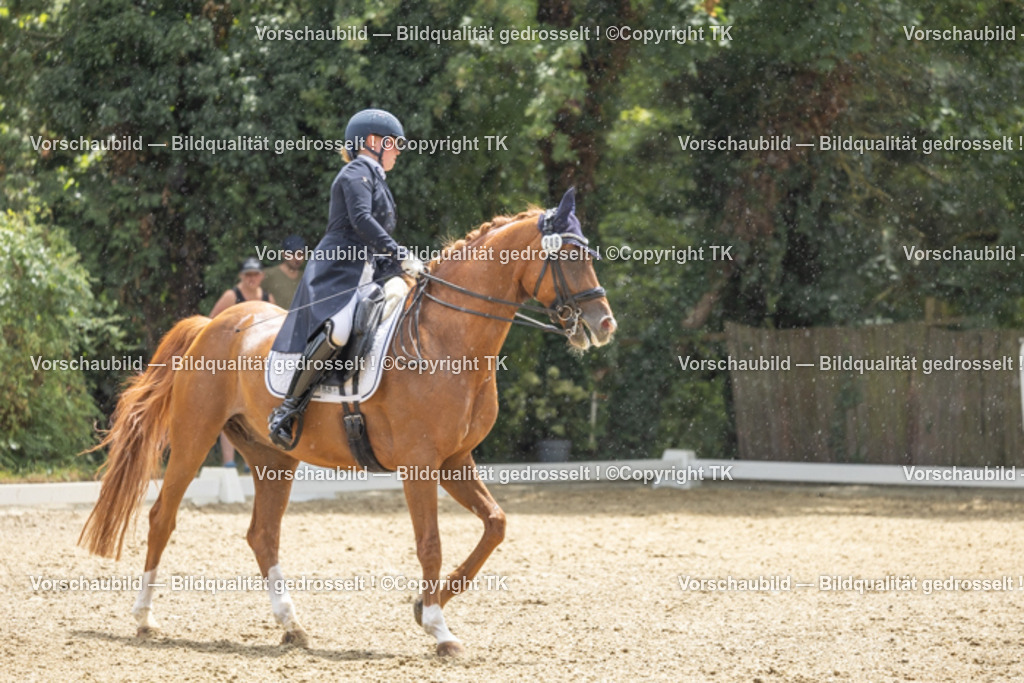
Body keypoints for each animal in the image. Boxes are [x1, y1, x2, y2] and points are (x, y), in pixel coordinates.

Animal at [78, 192, 616, 657]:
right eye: (570, 256)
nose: (604, 324)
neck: (445, 340)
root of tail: (212, 324)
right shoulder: (420, 464)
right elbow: (430, 544)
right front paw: (439, 629)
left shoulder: (455, 460)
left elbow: (495, 525)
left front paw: (425, 606)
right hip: (195, 438)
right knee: (162, 518)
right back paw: (144, 617)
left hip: (273, 458)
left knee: (262, 534)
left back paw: (292, 625)